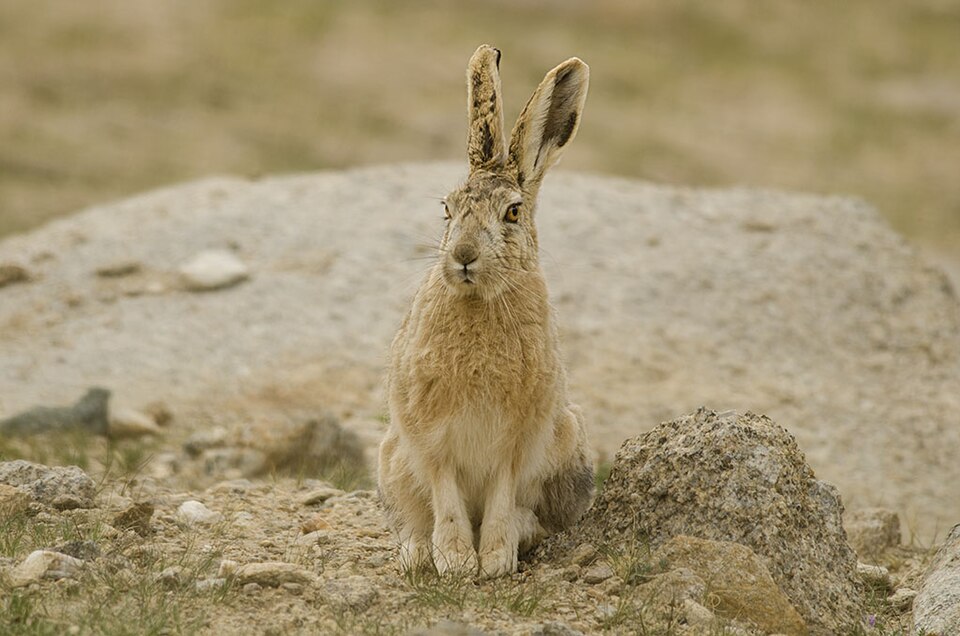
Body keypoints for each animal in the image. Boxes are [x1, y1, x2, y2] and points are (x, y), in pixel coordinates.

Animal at [378, 44, 594, 579]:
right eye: (447, 209)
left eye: (513, 212)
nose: (464, 256)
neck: (481, 299)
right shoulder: (430, 440)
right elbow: (446, 495)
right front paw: (456, 562)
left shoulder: (516, 444)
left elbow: (501, 493)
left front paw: (493, 560)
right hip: (391, 458)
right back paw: (418, 553)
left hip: (568, 445)